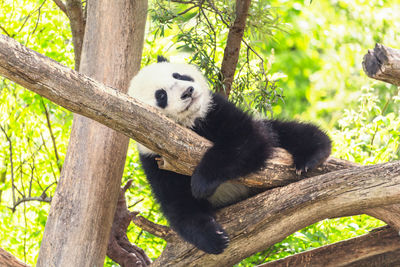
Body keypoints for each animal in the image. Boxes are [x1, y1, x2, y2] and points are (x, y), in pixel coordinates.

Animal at [128, 56, 332, 255]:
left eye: (178, 75)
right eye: (161, 95)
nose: (188, 91)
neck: (191, 124)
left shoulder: (215, 110)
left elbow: (246, 141)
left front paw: (201, 183)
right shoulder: (156, 156)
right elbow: (179, 204)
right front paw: (214, 238)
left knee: (288, 131)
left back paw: (310, 155)